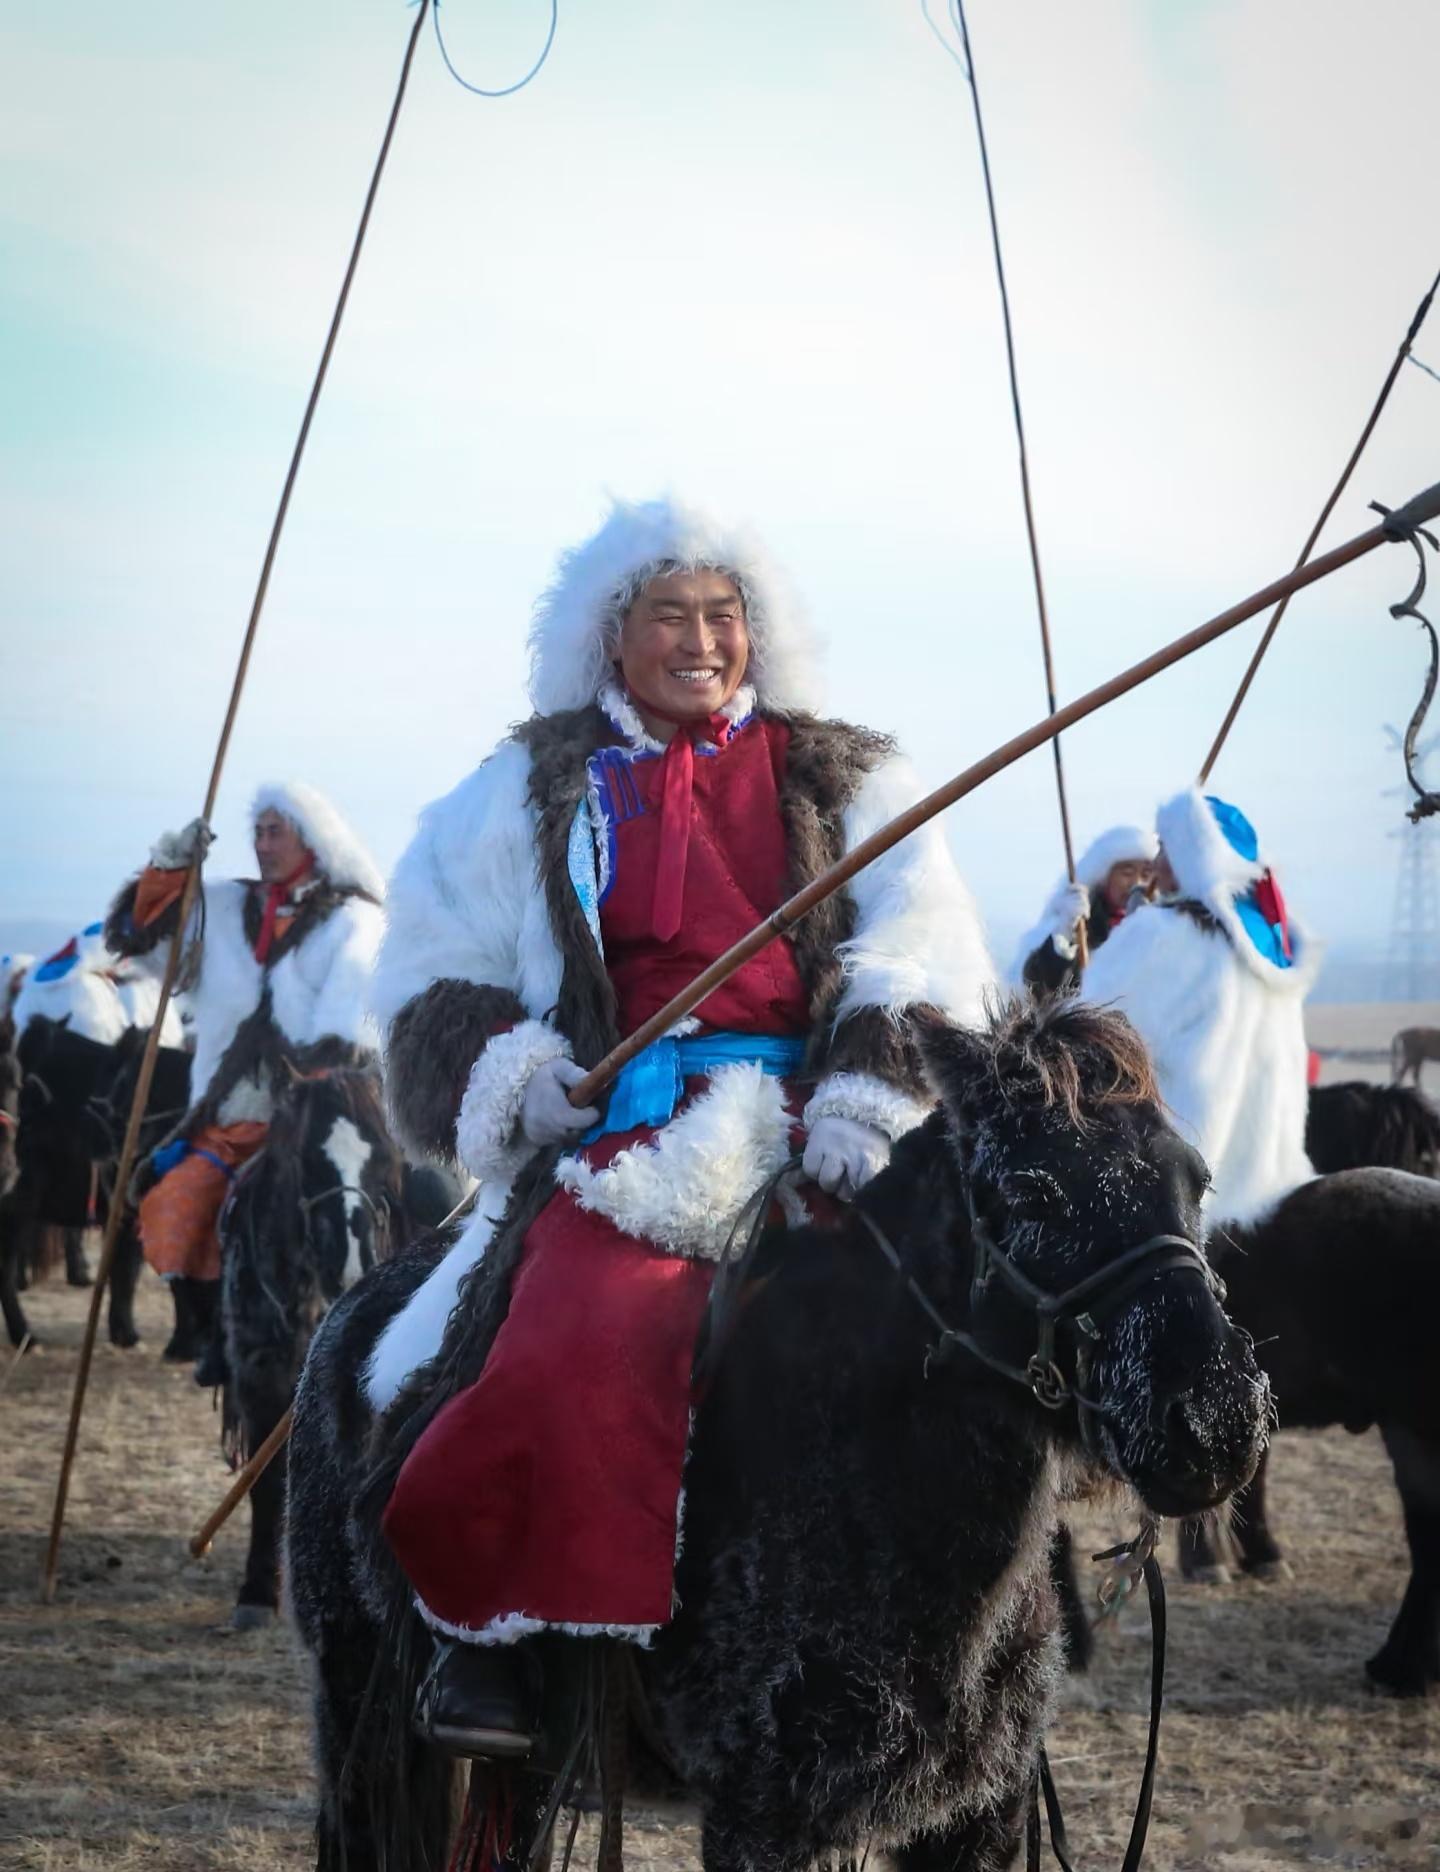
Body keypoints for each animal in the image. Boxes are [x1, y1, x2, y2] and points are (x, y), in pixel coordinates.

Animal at [220, 1078, 460, 1632]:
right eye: (306, 1160)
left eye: (383, 1159)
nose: (351, 1261)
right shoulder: (260, 1379)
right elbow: (266, 1484)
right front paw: (256, 1591)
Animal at [286, 1010, 1265, 1872]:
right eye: (1034, 1191)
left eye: (1196, 1181)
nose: (1215, 1419)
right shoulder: (763, 1815)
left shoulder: (978, 1815)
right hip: (357, 1702)